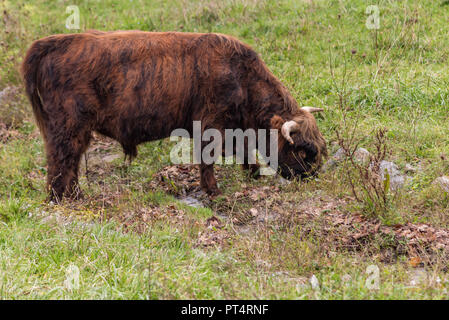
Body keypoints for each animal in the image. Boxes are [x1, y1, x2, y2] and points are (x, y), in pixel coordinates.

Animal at [21, 30, 326, 200]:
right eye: (303, 150)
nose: (312, 176)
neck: (243, 78)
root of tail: (54, 42)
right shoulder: (211, 125)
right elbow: (209, 158)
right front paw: (213, 191)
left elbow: (245, 148)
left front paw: (252, 174)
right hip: (69, 126)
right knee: (62, 158)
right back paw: (64, 198)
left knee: (69, 160)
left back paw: (74, 194)